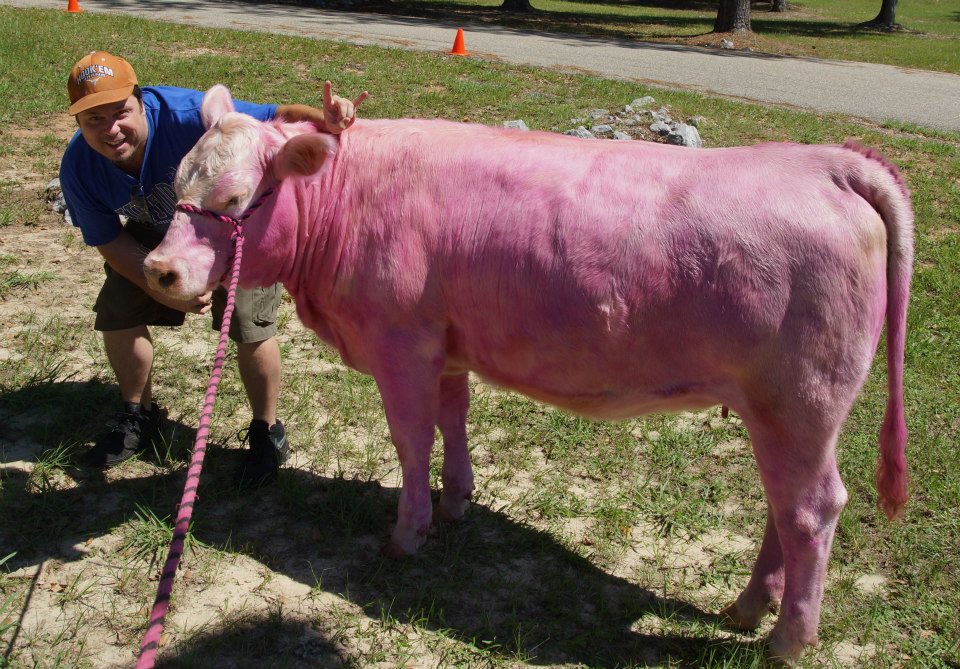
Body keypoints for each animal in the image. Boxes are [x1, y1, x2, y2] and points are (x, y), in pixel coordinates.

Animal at [143, 85, 913, 664]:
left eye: (235, 199)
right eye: (176, 182)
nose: (158, 269)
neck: (349, 195)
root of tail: (828, 163)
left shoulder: (401, 344)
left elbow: (411, 440)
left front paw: (409, 532)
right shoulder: (445, 344)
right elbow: (452, 420)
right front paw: (457, 501)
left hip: (801, 400)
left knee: (812, 509)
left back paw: (788, 638)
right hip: (781, 411)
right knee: (783, 506)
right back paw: (748, 607)